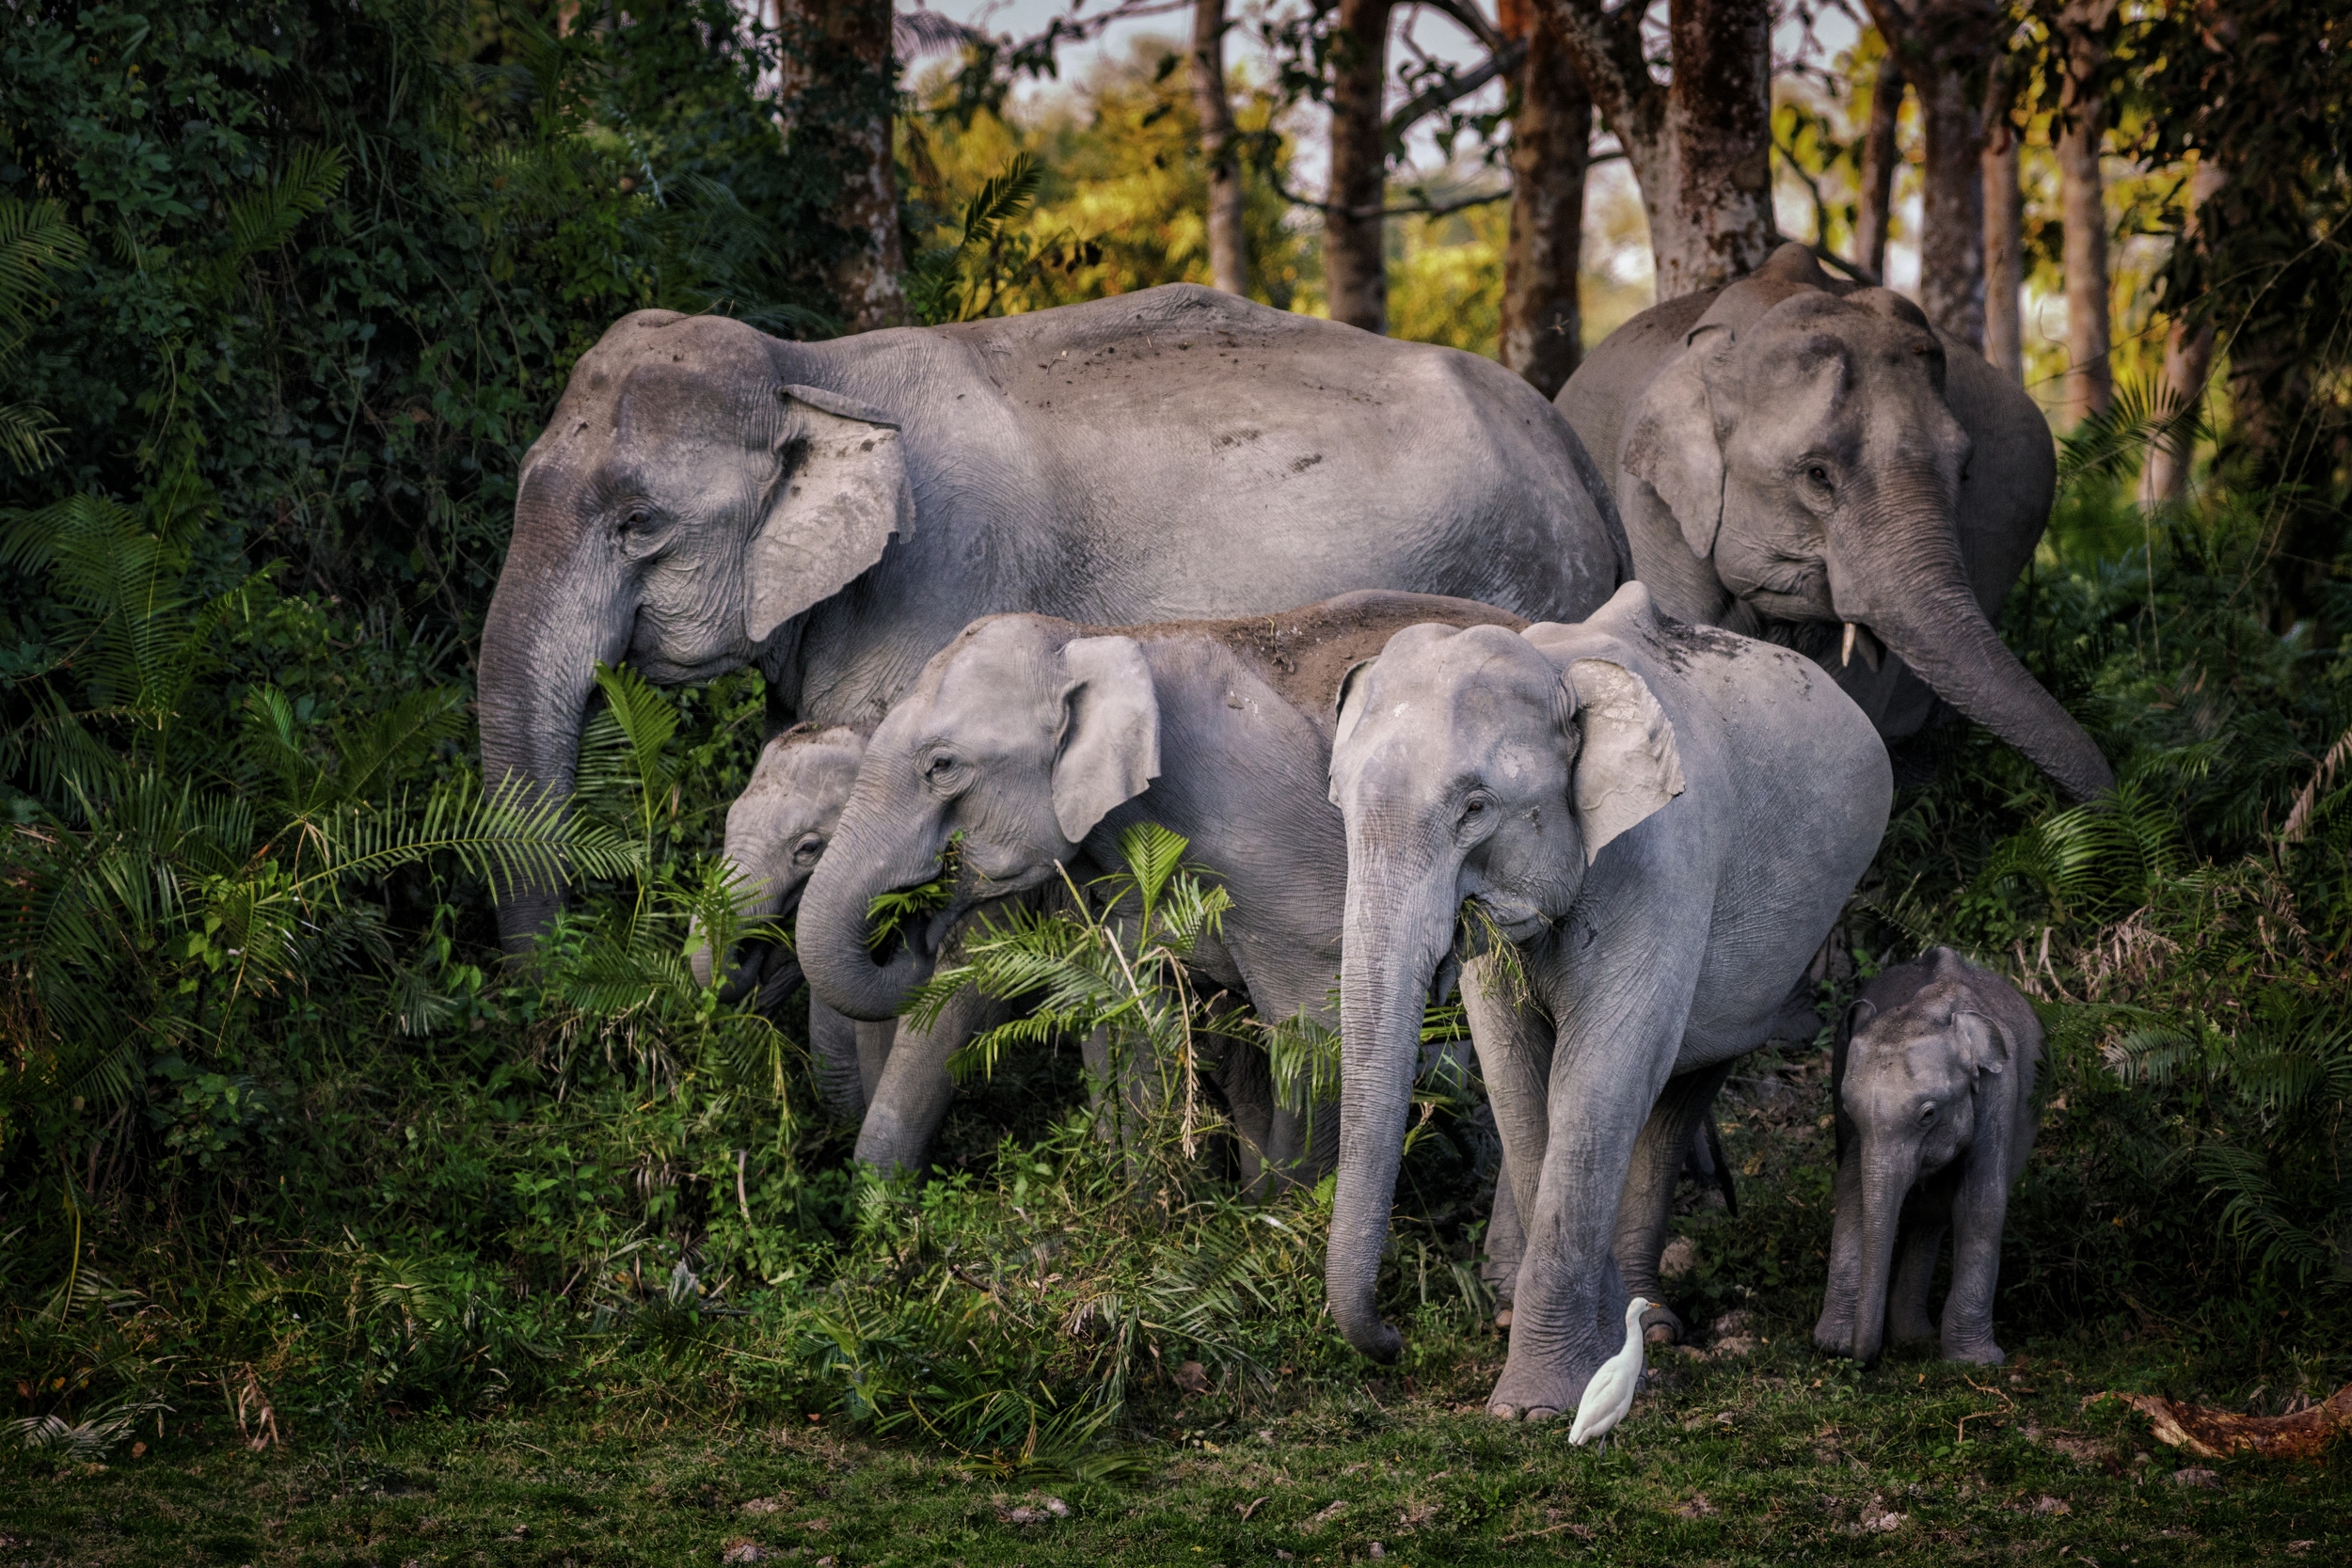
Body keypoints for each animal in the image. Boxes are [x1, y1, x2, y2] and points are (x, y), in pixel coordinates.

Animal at [795, 594, 1524, 1184]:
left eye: (941, 766)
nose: (913, 923)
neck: (1103, 638)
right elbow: (1133, 1012)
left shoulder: (1271, 844)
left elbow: (1313, 1031)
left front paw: (1277, 1226)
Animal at [1327, 582, 1891, 1419]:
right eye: (1341, 806)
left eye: (1475, 808)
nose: (1395, 1339)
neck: (1558, 670)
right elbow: (1515, 1071)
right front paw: (1574, 1366)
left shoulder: (1662, 858)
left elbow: (1599, 1073)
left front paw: (1535, 1405)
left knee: (1684, 1078)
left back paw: (1648, 1324)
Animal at [1816, 949, 2042, 1363]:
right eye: (1849, 1110)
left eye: (1928, 1114)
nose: (1859, 1357)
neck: (1929, 1006)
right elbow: (1853, 1189)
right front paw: (1832, 1345)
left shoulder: (2001, 1087)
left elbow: (1979, 1201)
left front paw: (1977, 1362)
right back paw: (1912, 1339)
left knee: (1934, 1213)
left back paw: (1913, 1339)